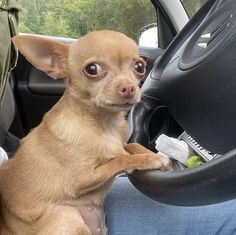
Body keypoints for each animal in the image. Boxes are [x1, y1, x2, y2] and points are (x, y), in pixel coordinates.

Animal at [0, 31, 171, 235]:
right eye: (92, 69)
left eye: (139, 67)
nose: (129, 87)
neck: (104, 124)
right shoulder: (79, 181)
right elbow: (120, 159)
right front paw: (150, 159)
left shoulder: (121, 144)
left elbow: (131, 144)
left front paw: (153, 155)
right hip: (68, 214)